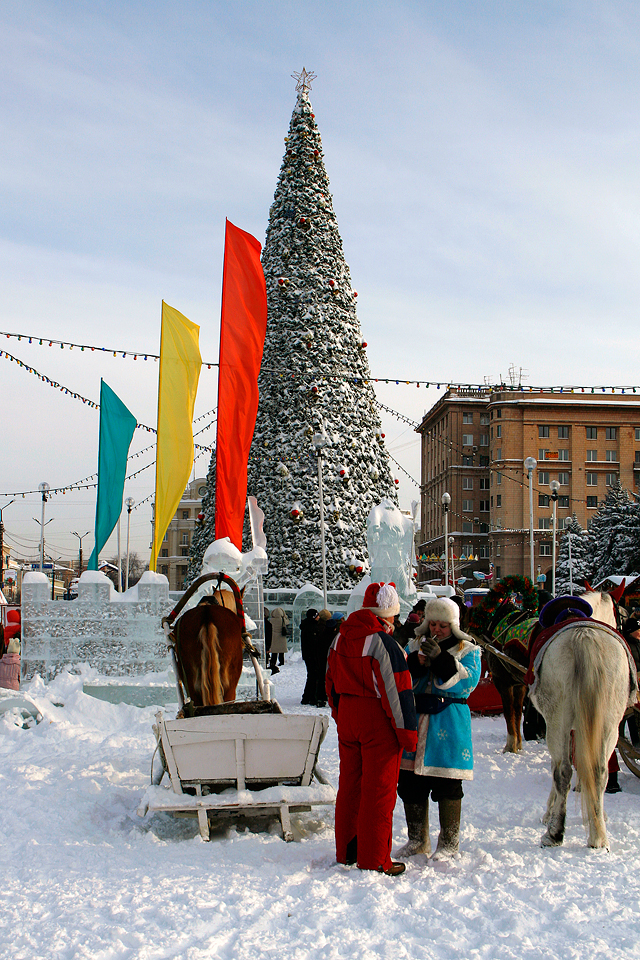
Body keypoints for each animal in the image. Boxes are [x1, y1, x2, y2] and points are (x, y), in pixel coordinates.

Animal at [528, 592, 636, 848]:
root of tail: (584, 637)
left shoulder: (565, 726)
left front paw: (549, 813)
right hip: (609, 725)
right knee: (600, 771)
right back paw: (598, 835)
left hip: (557, 721)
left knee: (562, 771)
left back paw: (554, 832)